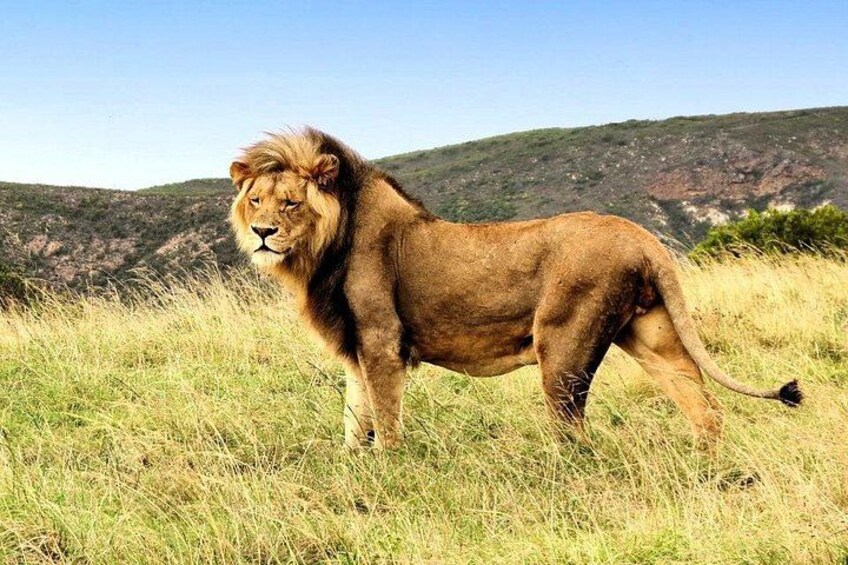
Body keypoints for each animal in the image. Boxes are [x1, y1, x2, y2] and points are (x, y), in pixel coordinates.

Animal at [229, 128, 802, 451]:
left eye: (290, 203)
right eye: (256, 199)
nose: (262, 233)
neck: (326, 247)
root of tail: (641, 235)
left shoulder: (381, 341)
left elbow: (384, 419)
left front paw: (388, 468)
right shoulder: (354, 348)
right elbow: (355, 417)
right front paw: (353, 468)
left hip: (564, 347)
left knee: (575, 434)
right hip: (652, 334)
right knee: (701, 403)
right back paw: (709, 467)